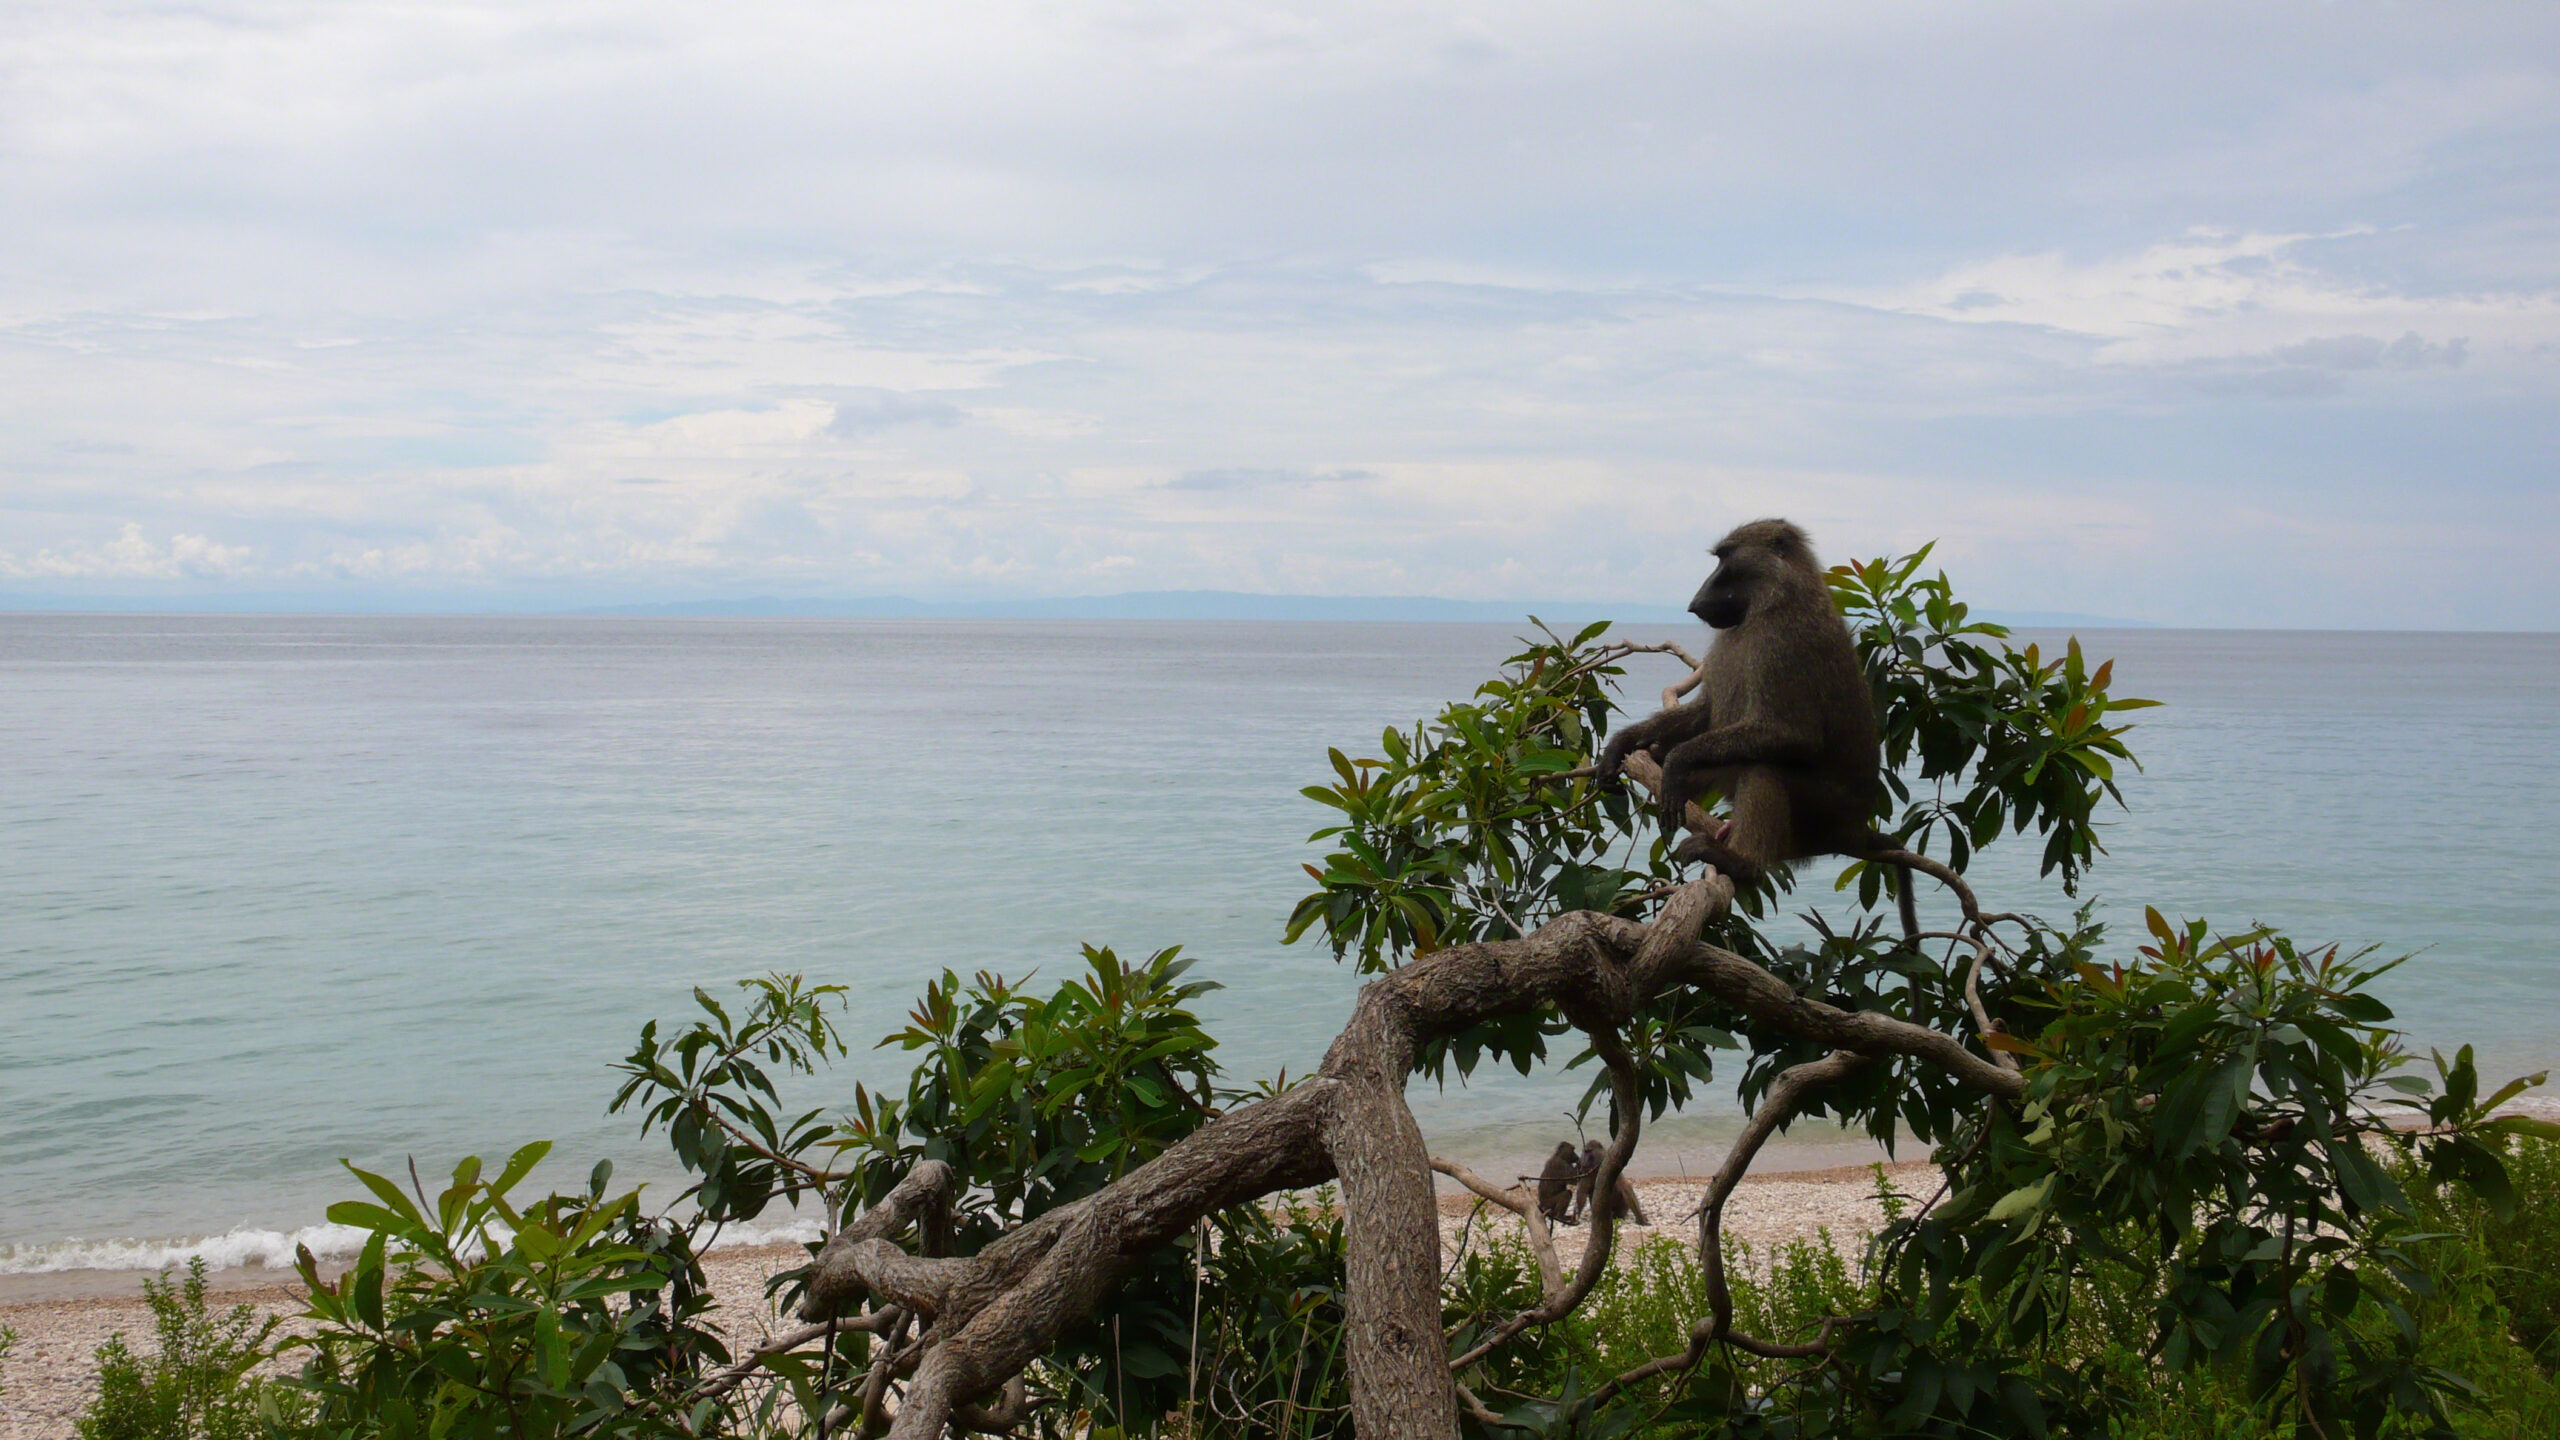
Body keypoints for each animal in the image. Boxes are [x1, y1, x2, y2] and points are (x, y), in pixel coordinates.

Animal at [1594, 519, 1921, 937]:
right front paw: (1622, 743)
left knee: (1762, 766)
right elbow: (1705, 713)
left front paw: (1675, 764)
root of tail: (1854, 828)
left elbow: (1792, 735)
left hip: (1820, 812)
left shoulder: (1782, 643)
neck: (1774, 599)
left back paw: (1742, 863)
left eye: (1725, 558)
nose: (1695, 603)